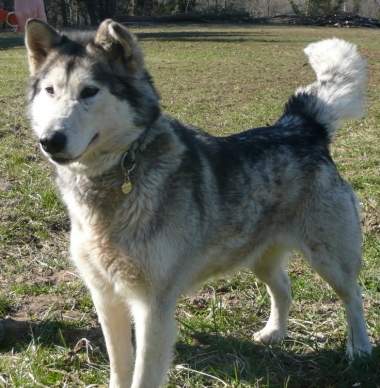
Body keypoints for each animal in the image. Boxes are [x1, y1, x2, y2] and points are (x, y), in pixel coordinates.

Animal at [25, 19, 372, 388]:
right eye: (50, 91)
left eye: (90, 91)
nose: (50, 140)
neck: (117, 174)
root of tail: (301, 127)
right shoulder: (106, 298)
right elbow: (120, 367)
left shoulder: (153, 306)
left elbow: (143, 373)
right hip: (260, 258)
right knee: (284, 289)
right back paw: (274, 334)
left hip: (331, 260)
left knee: (354, 297)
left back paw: (359, 349)